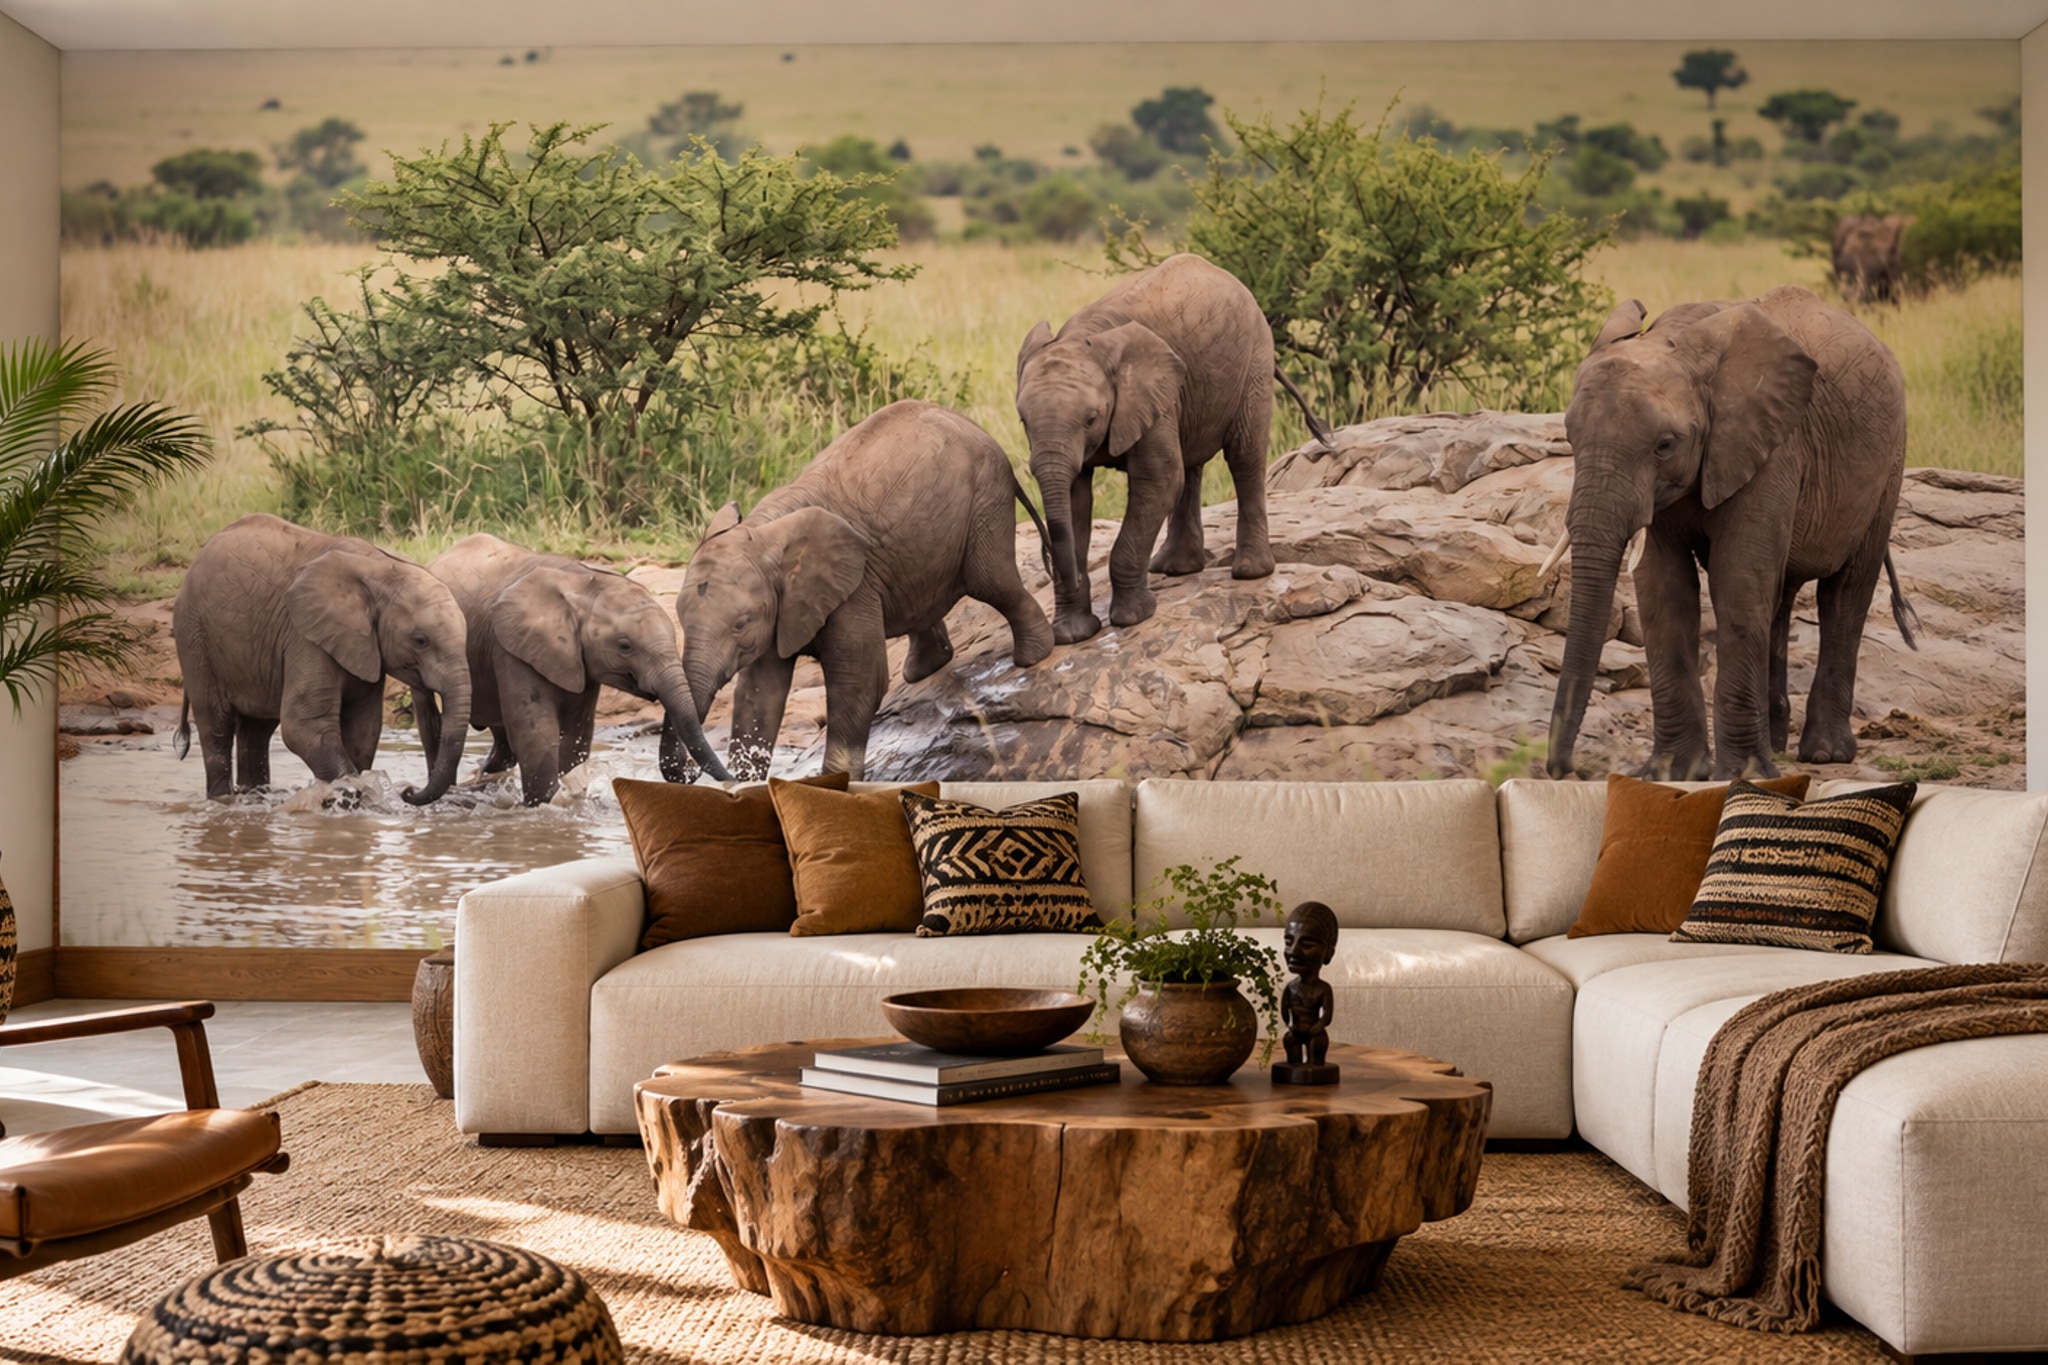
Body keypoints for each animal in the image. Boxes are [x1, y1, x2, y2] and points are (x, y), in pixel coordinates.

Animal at [173, 514, 472, 804]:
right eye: (420, 641)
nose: (409, 791)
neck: (383, 570)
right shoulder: (305, 636)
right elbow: (302, 726)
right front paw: (351, 794)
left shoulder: (364, 647)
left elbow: (363, 728)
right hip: (194, 636)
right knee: (216, 726)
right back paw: (222, 799)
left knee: (256, 732)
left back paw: (255, 797)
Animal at [427, 535, 732, 806]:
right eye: (625, 646)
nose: (732, 781)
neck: (584, 583)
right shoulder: (511, 649)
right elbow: (537, 735)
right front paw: (543, 805)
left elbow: (577, 736)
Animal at [679, 399, 1055, 780]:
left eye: (740, 624)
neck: (764, 531)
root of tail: (977, 429)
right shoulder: (782, 608)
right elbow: (760, 692)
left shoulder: (853, 587)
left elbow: (859, 680)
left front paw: (834, 784)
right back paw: (925, 669)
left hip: (984, 498)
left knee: (991, 581)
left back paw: (1033, 655)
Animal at [1015, 253, 1332, 644]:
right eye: (1023, 421)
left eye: (1091, 419)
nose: (1050, 566)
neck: (1086, 337)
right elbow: (1075, 498)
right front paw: (1073, 636)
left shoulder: (1155, 397)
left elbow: (1159, 479)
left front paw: (1132, 618)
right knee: (1191, 465)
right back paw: (1175, 568)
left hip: (1254, 360)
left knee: (1243, 456)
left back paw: (1250, 572)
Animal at [1544, 285, 1912, 782]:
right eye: (1570, 437)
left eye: (1665, 445)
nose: (1564, 769)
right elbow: (1664, 590)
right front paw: (1670, 774)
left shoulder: (1772, 447)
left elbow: (1737, 581)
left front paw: (1741, 774)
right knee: (1778, 596)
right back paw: (1776, 745)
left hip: (1889, 465)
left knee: (1845, 594)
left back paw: (1824, 754)